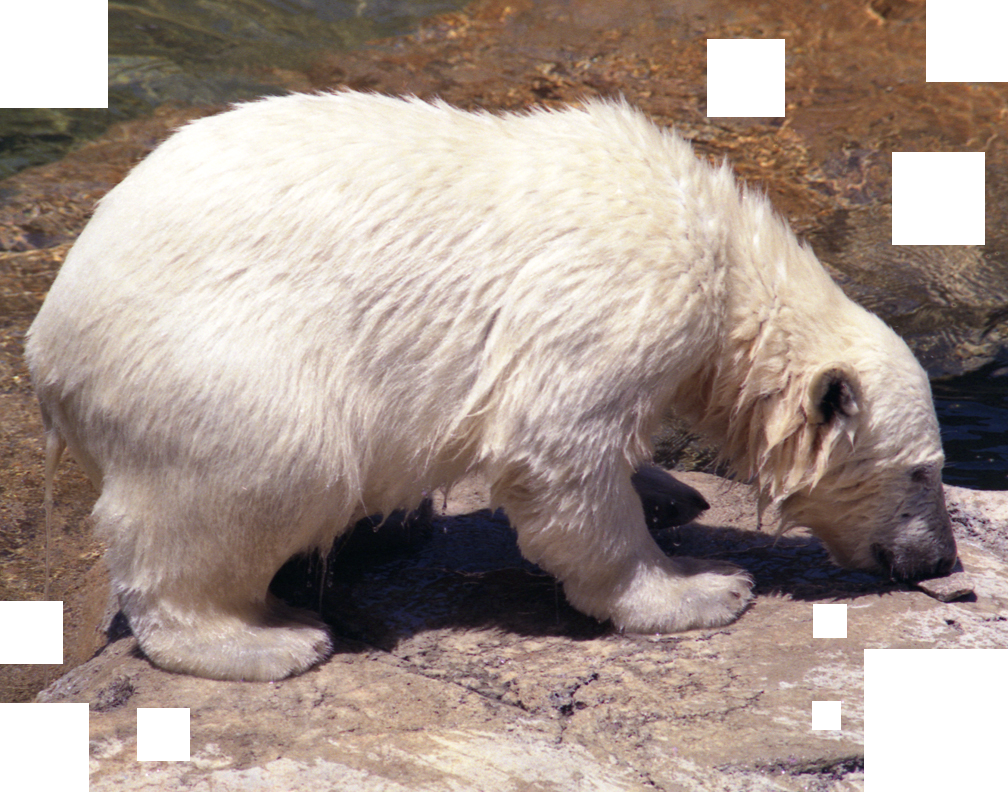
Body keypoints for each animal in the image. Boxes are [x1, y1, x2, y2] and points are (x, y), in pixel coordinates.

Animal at [26, 92, 957, 681]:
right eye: (923, 472)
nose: (940, 559)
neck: (725, 257)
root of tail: (47, 345)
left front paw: (672, 493)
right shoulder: (622, 292)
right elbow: (559, 448)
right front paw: (701, 587)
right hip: (218, 355)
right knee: (263, 472)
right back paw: (265, 639)